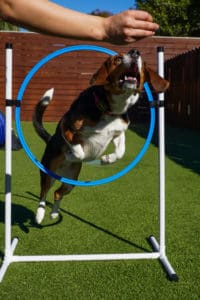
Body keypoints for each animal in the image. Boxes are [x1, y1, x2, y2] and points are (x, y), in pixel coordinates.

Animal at [32, 49, 169, 224]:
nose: (135, 52)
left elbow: (121, 151)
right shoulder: (66, 126)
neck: (111, 109)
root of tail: (50, 140)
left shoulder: (119, 132)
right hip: (48, 171)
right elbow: (78, 150)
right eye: (118, 59)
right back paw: (39, 215)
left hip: (71, 181)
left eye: (143, 63)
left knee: (57, 193)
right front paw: (78, 155)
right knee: (43, 192)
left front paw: (106, 159)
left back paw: (54, 213)